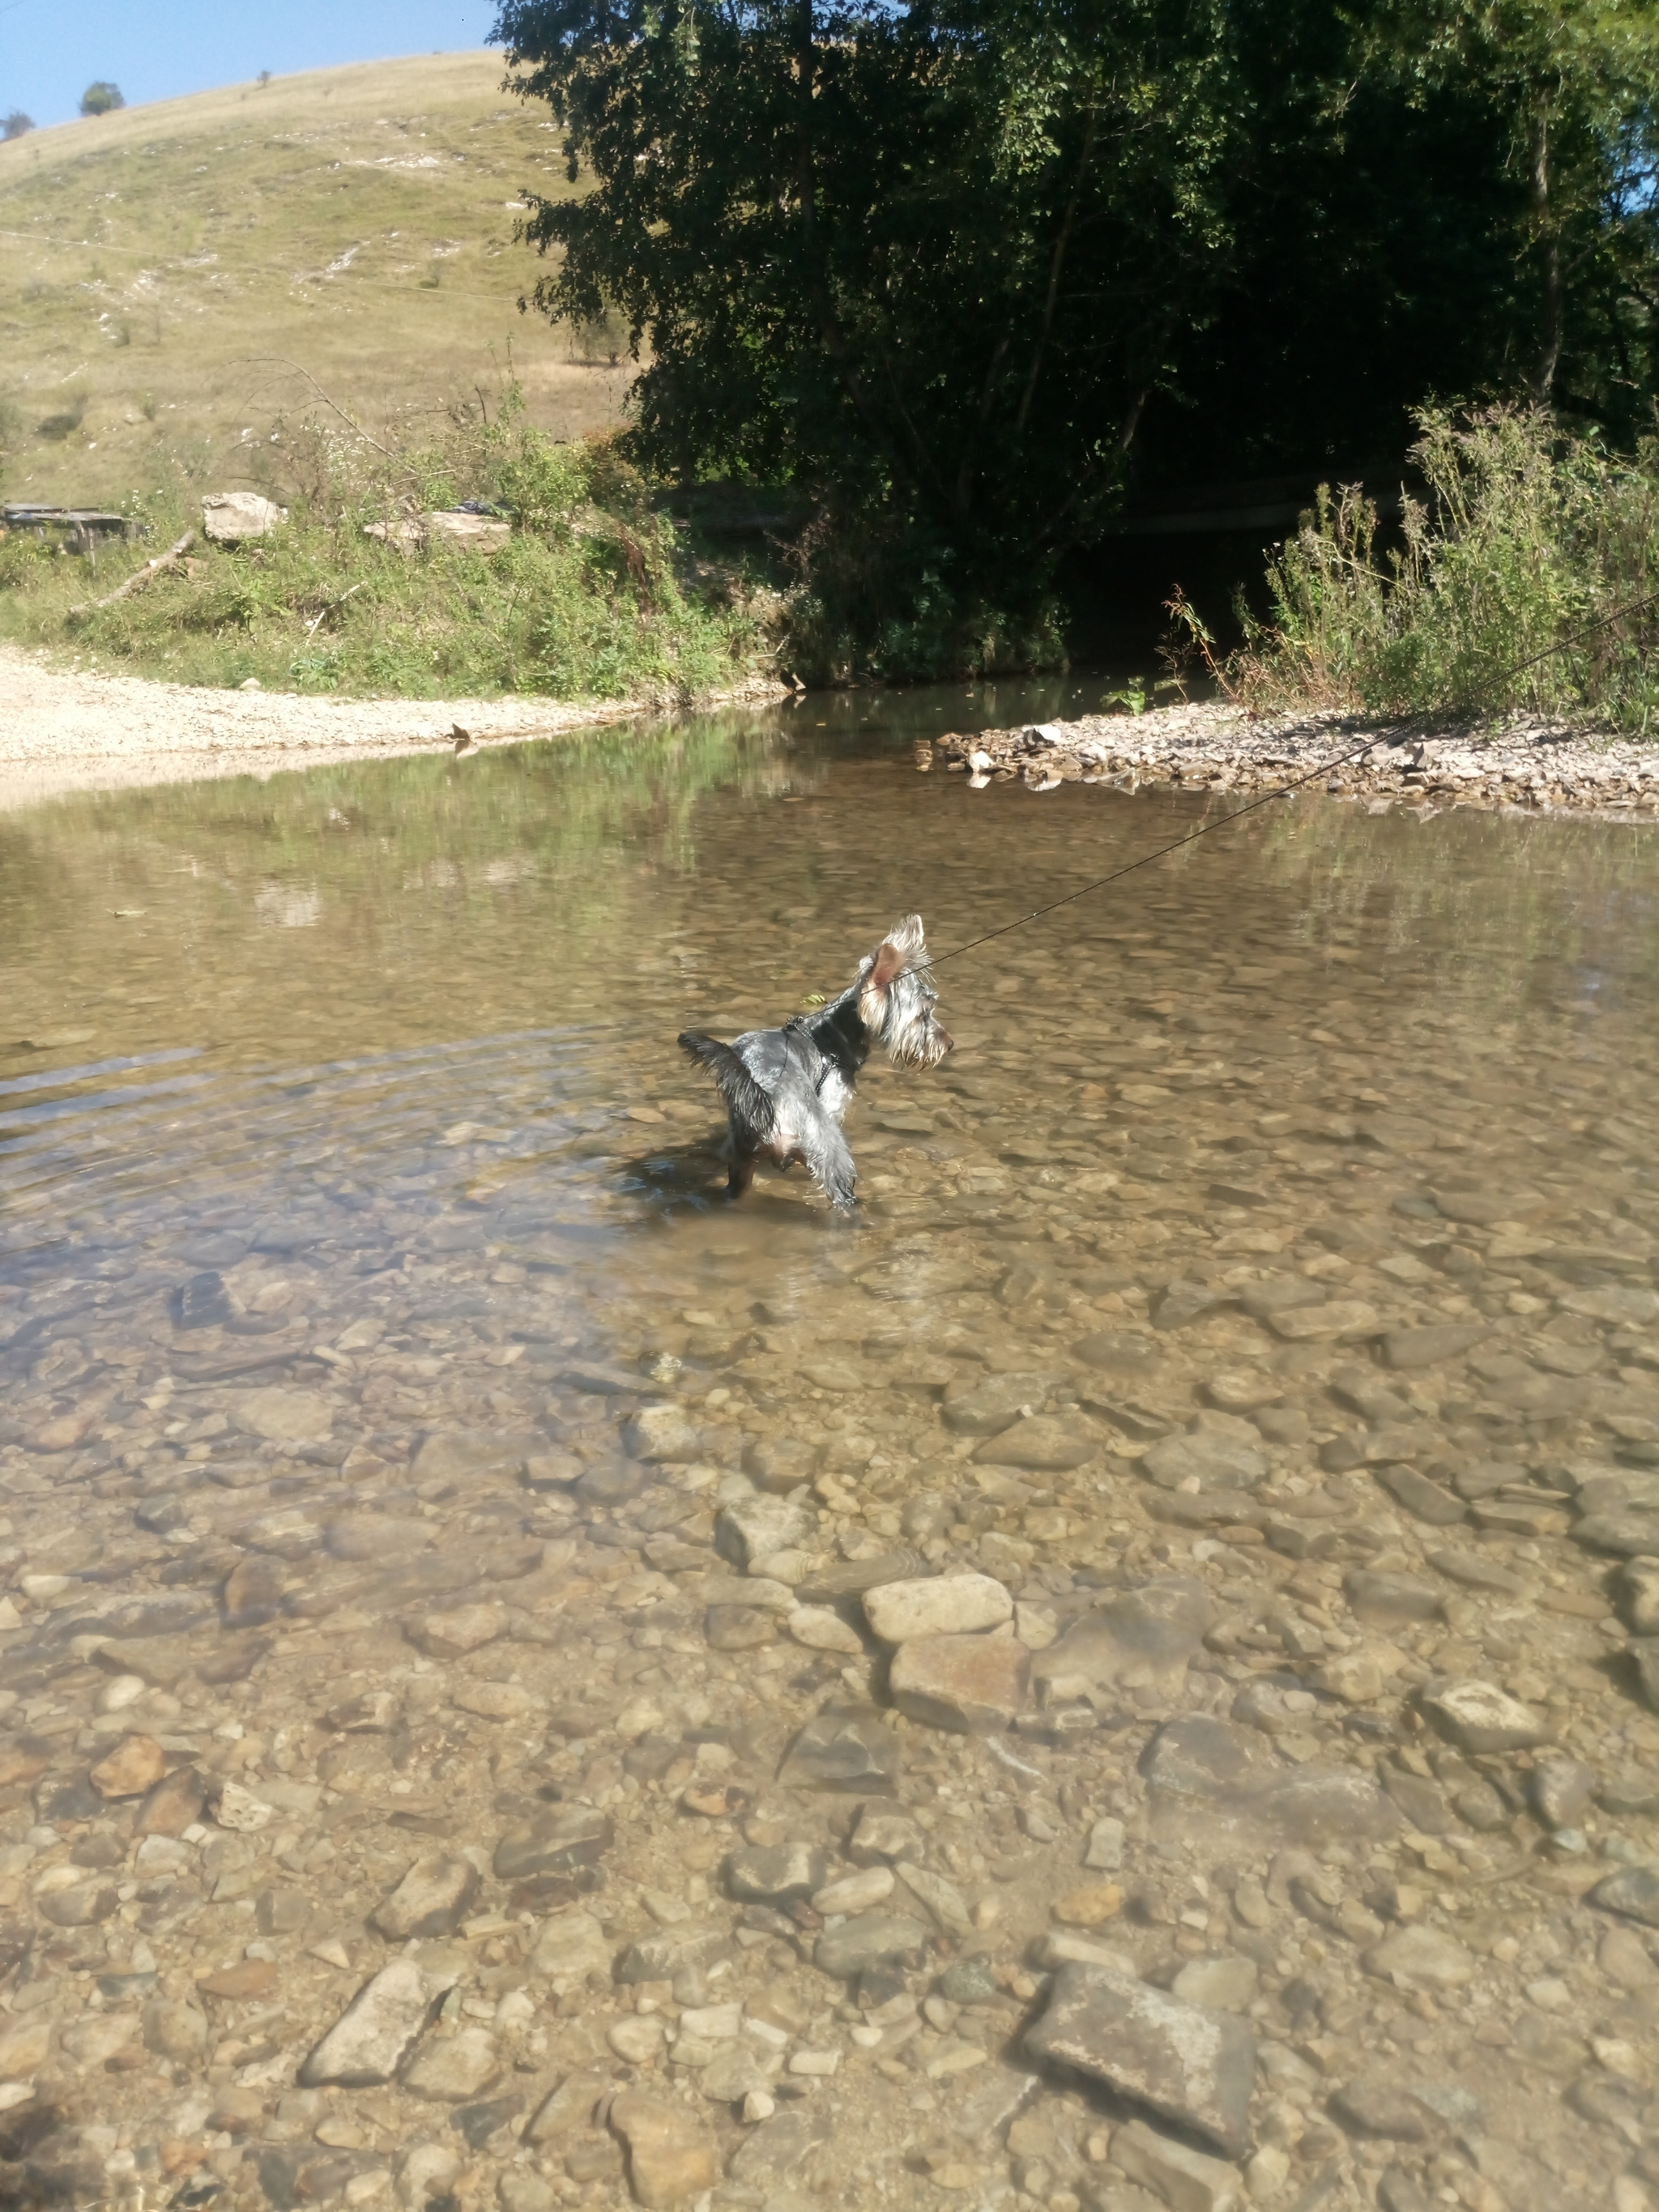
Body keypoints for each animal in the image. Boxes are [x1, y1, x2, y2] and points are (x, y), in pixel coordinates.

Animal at [681, 911, 955, 1212]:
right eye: (922, 1016)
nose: (949, 1043)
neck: (830, 1036)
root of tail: (766, 1100)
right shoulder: (833, 1104)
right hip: (829, 1154)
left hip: (741, 1159)